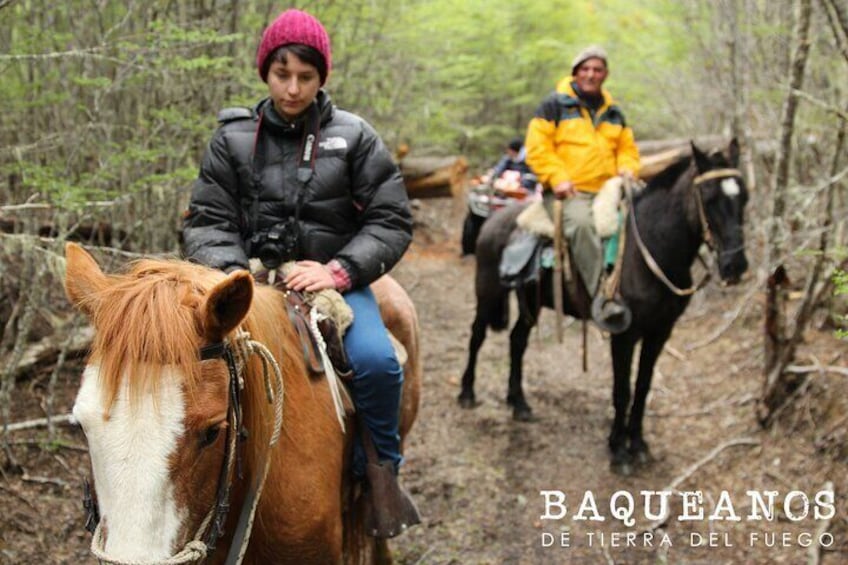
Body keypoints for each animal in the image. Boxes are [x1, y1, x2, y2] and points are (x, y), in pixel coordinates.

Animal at [458, 140, 748, 472]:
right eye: (709, 198)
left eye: (744, 197)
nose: (736, 265)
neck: (649, 250)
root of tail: (495, 218)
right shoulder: (625, 334)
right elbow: (623, 390)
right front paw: (618, 450)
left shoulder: (659, 332)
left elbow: (643, 386)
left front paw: (638, 445)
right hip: (488, 291)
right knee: (477, 335)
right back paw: (466, 393)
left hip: (531, 300)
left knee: (517, 341)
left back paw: (519, 403)